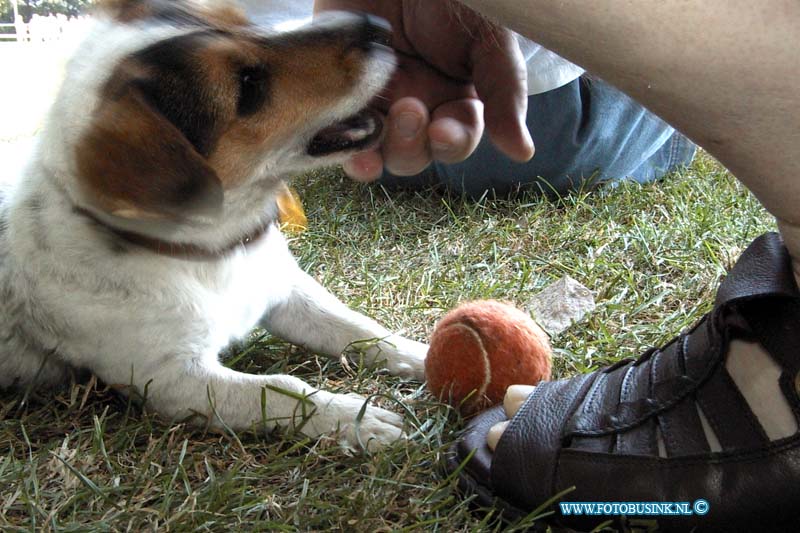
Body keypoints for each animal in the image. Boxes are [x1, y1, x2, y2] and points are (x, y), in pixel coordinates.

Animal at [0, 0, 428, 448]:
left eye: (243, 21)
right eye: (248, 84)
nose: (380, 26)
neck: (209, 255)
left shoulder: (287, 291)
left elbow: (358, 328)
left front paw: (421, 356)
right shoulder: (172, 379)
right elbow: (278, 388)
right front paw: (357, 419)